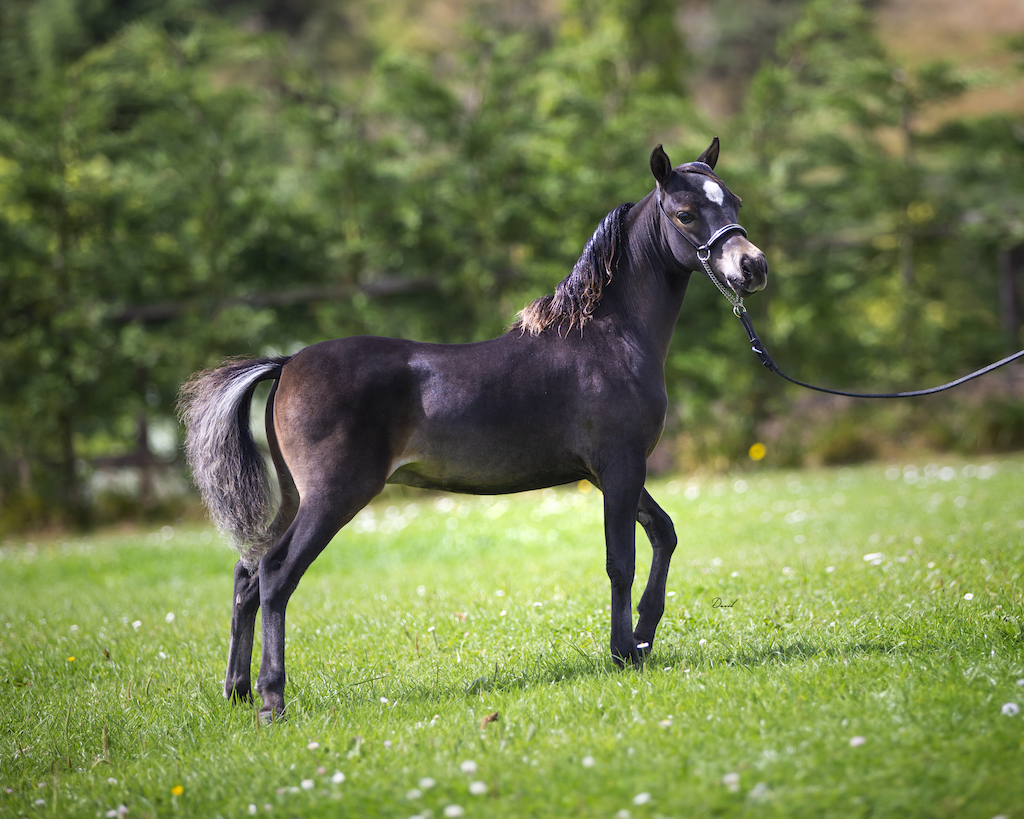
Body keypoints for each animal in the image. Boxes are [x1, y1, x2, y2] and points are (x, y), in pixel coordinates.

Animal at [178, 138, 768, 719]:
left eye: (735, 201)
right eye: (685, 213)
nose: (753, 267)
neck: (607, 338)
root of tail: (287, 363)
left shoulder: (612, 472)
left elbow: (663, 533)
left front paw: (644, 638)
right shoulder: (620, 466)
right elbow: (619, 560)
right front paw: (624, 651)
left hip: (295, 497)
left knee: (247, 576)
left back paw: (237, 692)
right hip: (333, 496)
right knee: (276, 576)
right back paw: (271, 700)